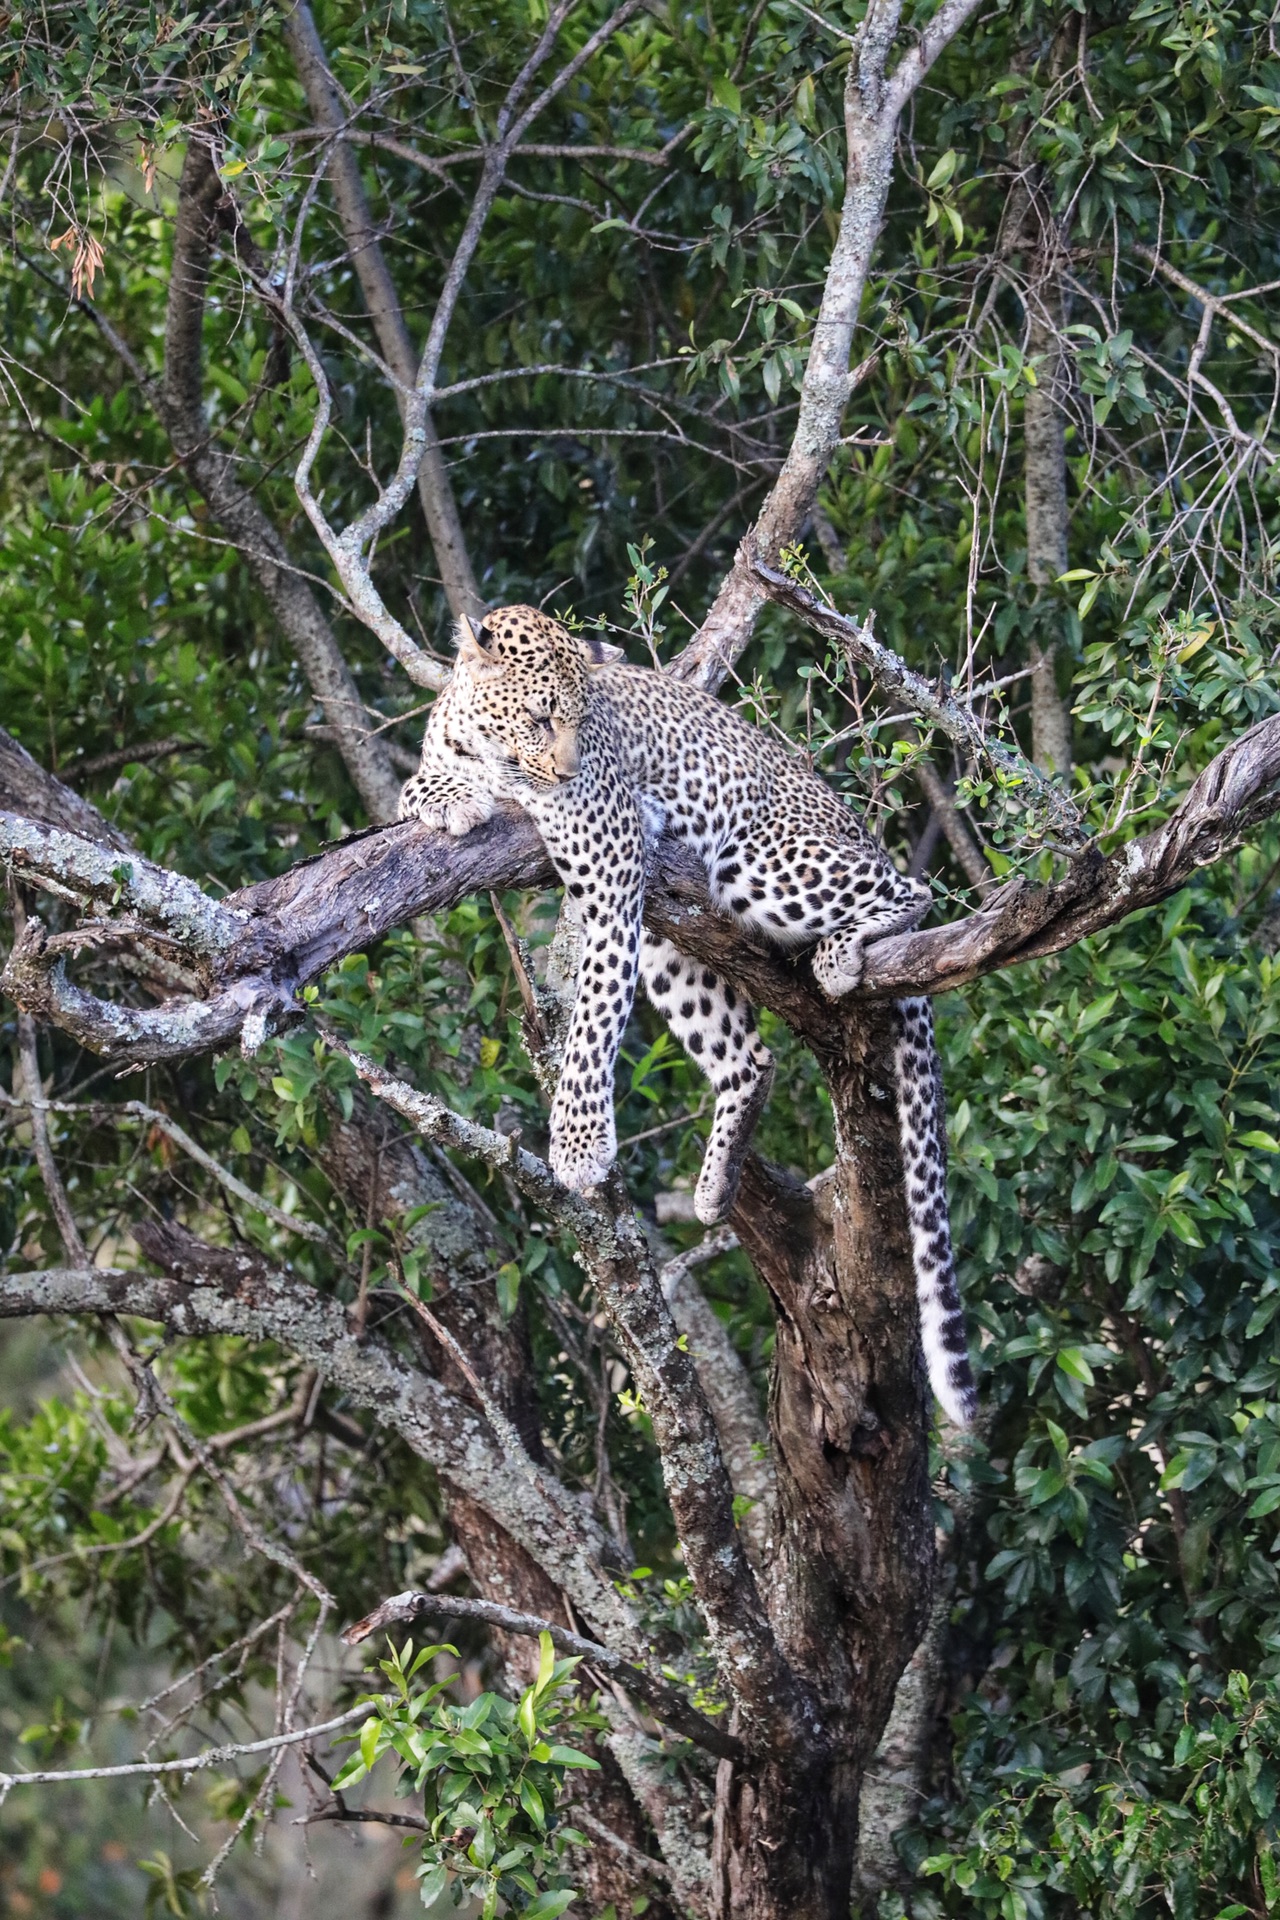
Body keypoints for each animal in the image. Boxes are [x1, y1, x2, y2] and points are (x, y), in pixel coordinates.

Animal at [404, 602, 974, 1428]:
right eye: (542, 716)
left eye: (585, 721)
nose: (569, 771)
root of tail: (854, 823)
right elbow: (419, 783)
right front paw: (446, 794)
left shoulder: (610, 854)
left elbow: (594, 1018)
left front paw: (578, 1147)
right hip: (673, 943)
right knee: (750, 1059)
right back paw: (716, 1185)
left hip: (760, 863)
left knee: (911, 889)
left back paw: (842, 954)